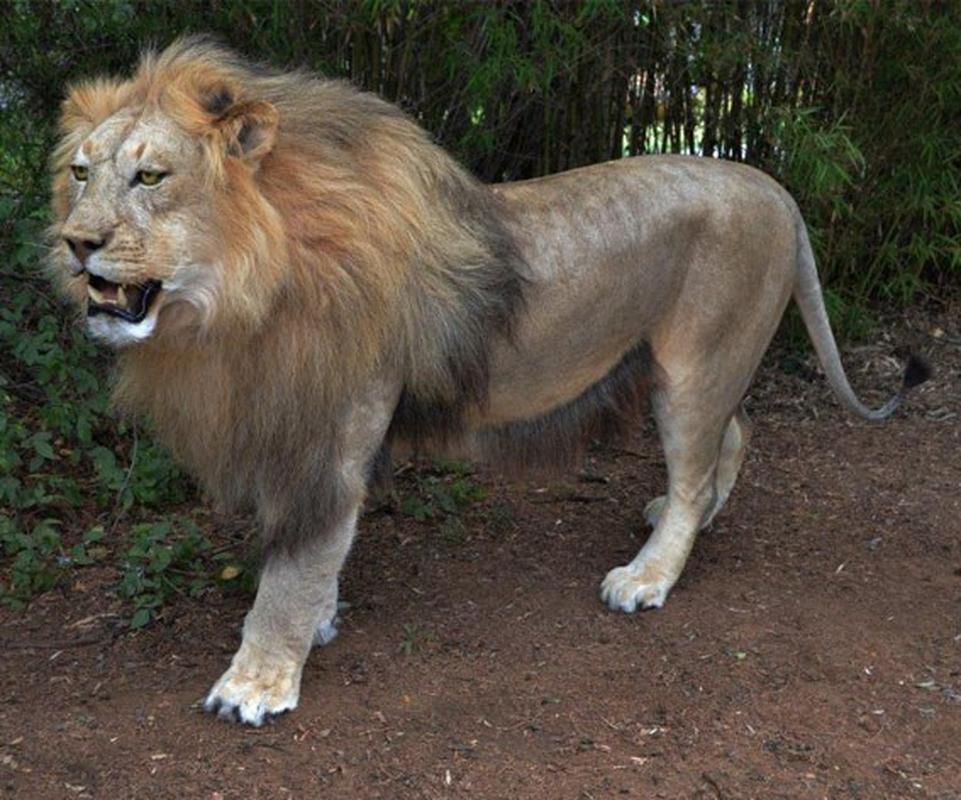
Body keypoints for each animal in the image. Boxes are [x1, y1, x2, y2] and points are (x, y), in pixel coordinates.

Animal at [50, 38, 928, 726]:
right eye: (82, 174)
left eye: (151, 177)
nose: (74, 244)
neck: (241, 292)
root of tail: (780, 191)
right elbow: (315, 555)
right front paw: (320, 621)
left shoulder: (332, 428)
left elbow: (295, 566)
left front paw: (256, 681)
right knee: (734, 437)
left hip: (697, 363)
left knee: (694, 468)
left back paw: (648, 573)